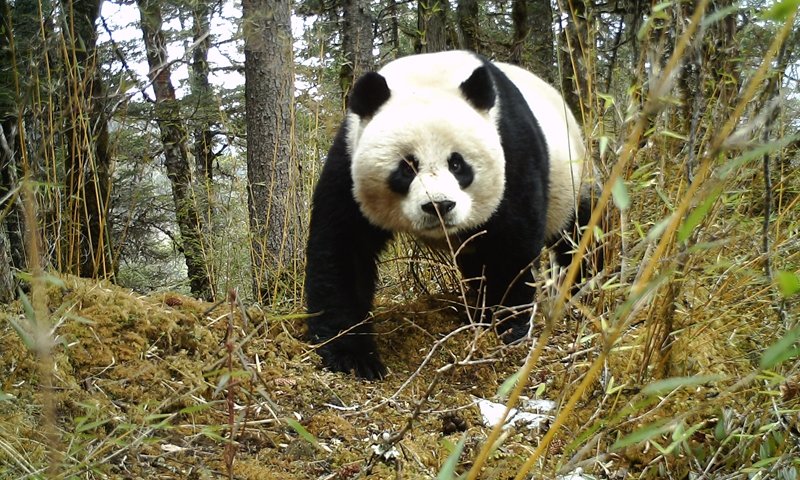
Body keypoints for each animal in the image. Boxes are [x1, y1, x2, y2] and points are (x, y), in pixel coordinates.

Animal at [305, 50, 594, 379]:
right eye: (407, 166)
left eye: (457, 164)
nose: (439, 206)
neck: (428, 74)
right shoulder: (348, 160)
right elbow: (343, 247)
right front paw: (352, 356)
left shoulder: (512, 151)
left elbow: (511, 245)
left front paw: (507, 327)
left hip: (574, 177)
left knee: (578, 236)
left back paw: (579, 286)